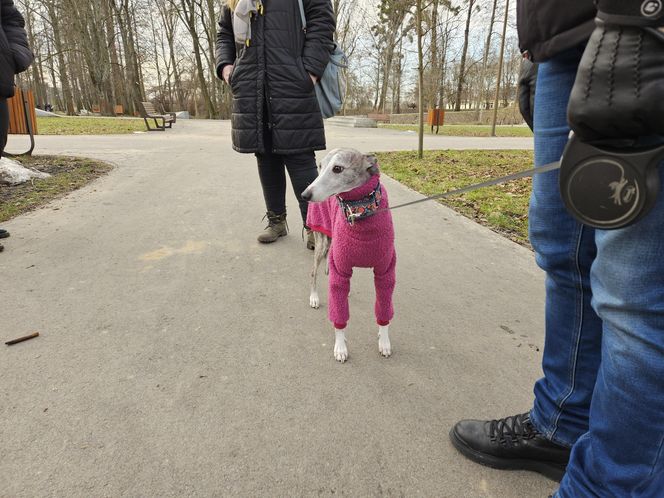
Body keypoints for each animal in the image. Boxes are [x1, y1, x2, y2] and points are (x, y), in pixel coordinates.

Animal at [300, 148, 394, 362]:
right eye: (320, 166)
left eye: (337, 168)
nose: (305, 194)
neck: (360, 211)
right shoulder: (340, 267)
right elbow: (339, 315)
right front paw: (340, 347)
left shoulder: (385, 271)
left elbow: (384, 308)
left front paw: (384, 341)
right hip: (321, 241)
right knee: (313, 272)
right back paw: (314, 297)